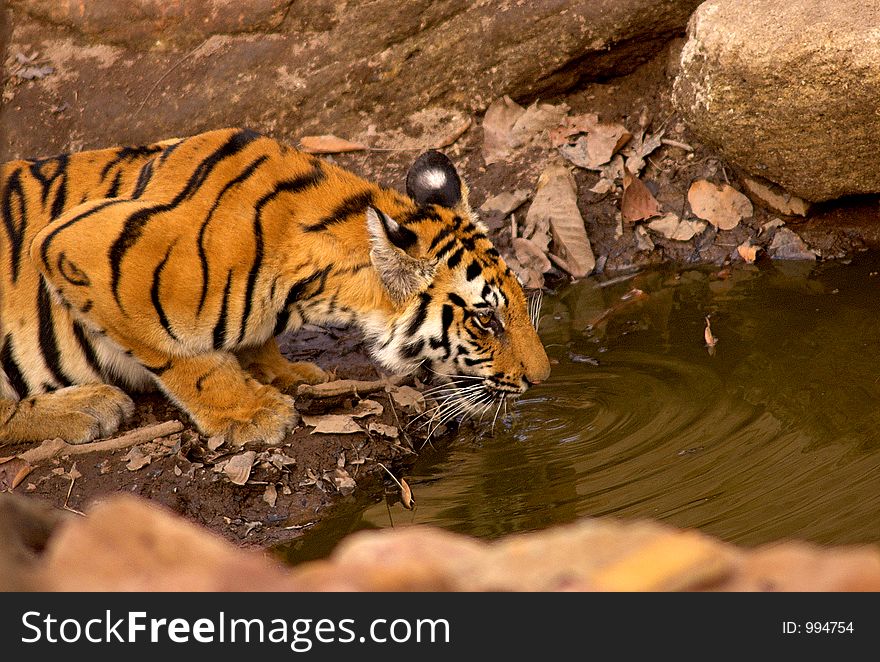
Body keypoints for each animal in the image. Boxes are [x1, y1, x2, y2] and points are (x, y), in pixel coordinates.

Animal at [0, 127, 552, 448]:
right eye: (485, 319)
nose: (543, 378)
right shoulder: (75, 247)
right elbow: (186, 359)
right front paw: (252, 412)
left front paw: (286, 373)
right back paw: (90, 406)